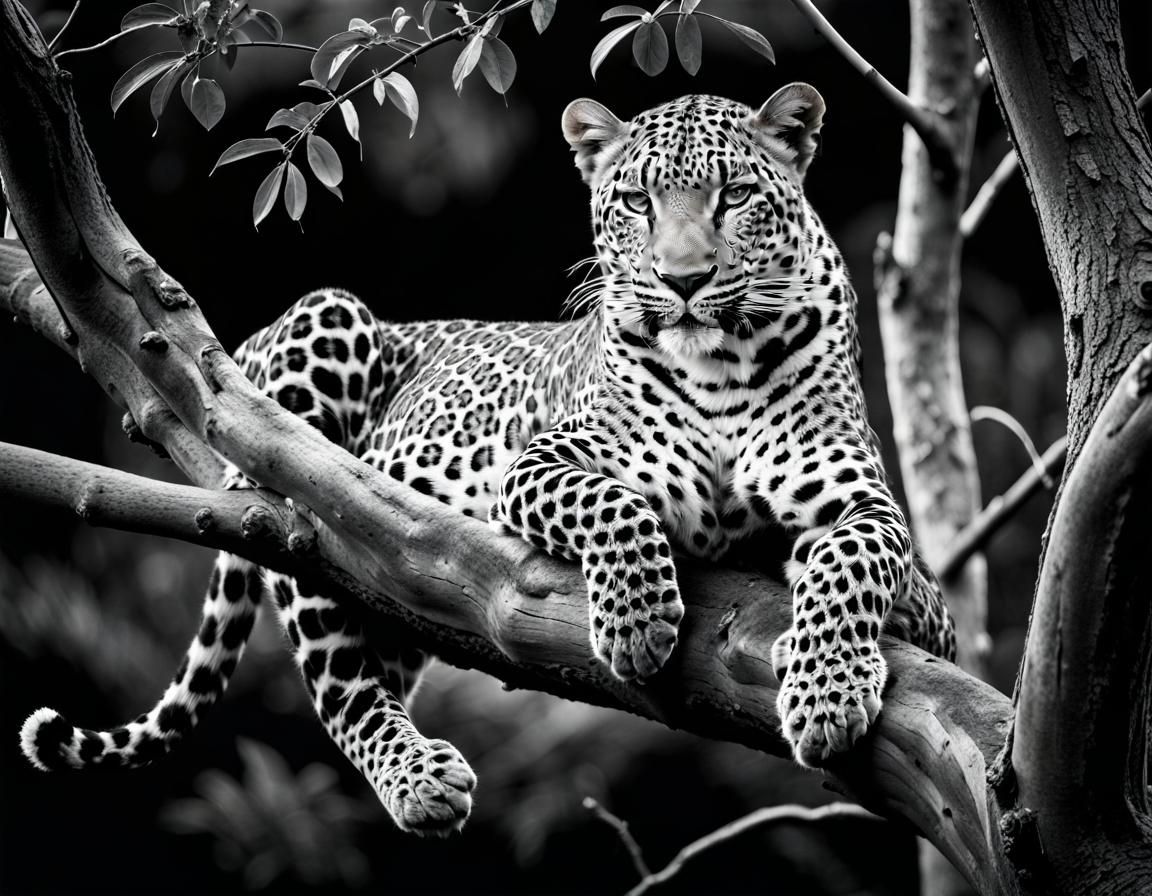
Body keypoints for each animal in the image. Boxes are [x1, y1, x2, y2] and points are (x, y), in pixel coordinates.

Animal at [20, 84, 955, 836]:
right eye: (638, 202)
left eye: (734, 196)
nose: (683, 281)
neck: (720, 362)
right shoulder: (539, 465)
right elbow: (619, 507)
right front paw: (637, 622)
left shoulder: (864, 502)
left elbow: (858, 560)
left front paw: (829, 689)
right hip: (315, 374)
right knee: (336, 669)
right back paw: (416, 775)